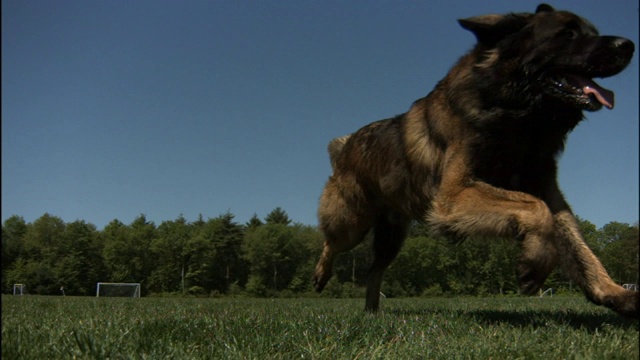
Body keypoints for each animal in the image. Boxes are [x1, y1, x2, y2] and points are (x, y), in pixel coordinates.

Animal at [310, 3, 636, 318]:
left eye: (593, 32)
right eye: (567, 34)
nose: (629, 45)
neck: (517, 115)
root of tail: (346, 143)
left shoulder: (547, 192)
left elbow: (579, 248)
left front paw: (614, 293)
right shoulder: (454, 195)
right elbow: (535, 209)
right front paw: (535, 263)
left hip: (391, 236)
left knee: (373, 270)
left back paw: (372, 312)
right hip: (351, 222)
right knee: (331, 243)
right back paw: (321, 276)